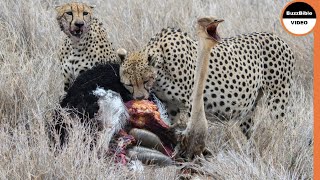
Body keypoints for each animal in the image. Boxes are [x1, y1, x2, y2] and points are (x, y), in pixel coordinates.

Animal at [120, 20, 296, 140]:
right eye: (129, 84)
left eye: (145, 80)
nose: (139, 98)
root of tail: (276, 37)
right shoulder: (171, 106)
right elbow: (167, 125)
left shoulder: (193, 103)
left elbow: (193, 129)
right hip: (249, 108)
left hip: (278, 99)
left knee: (283, 128)